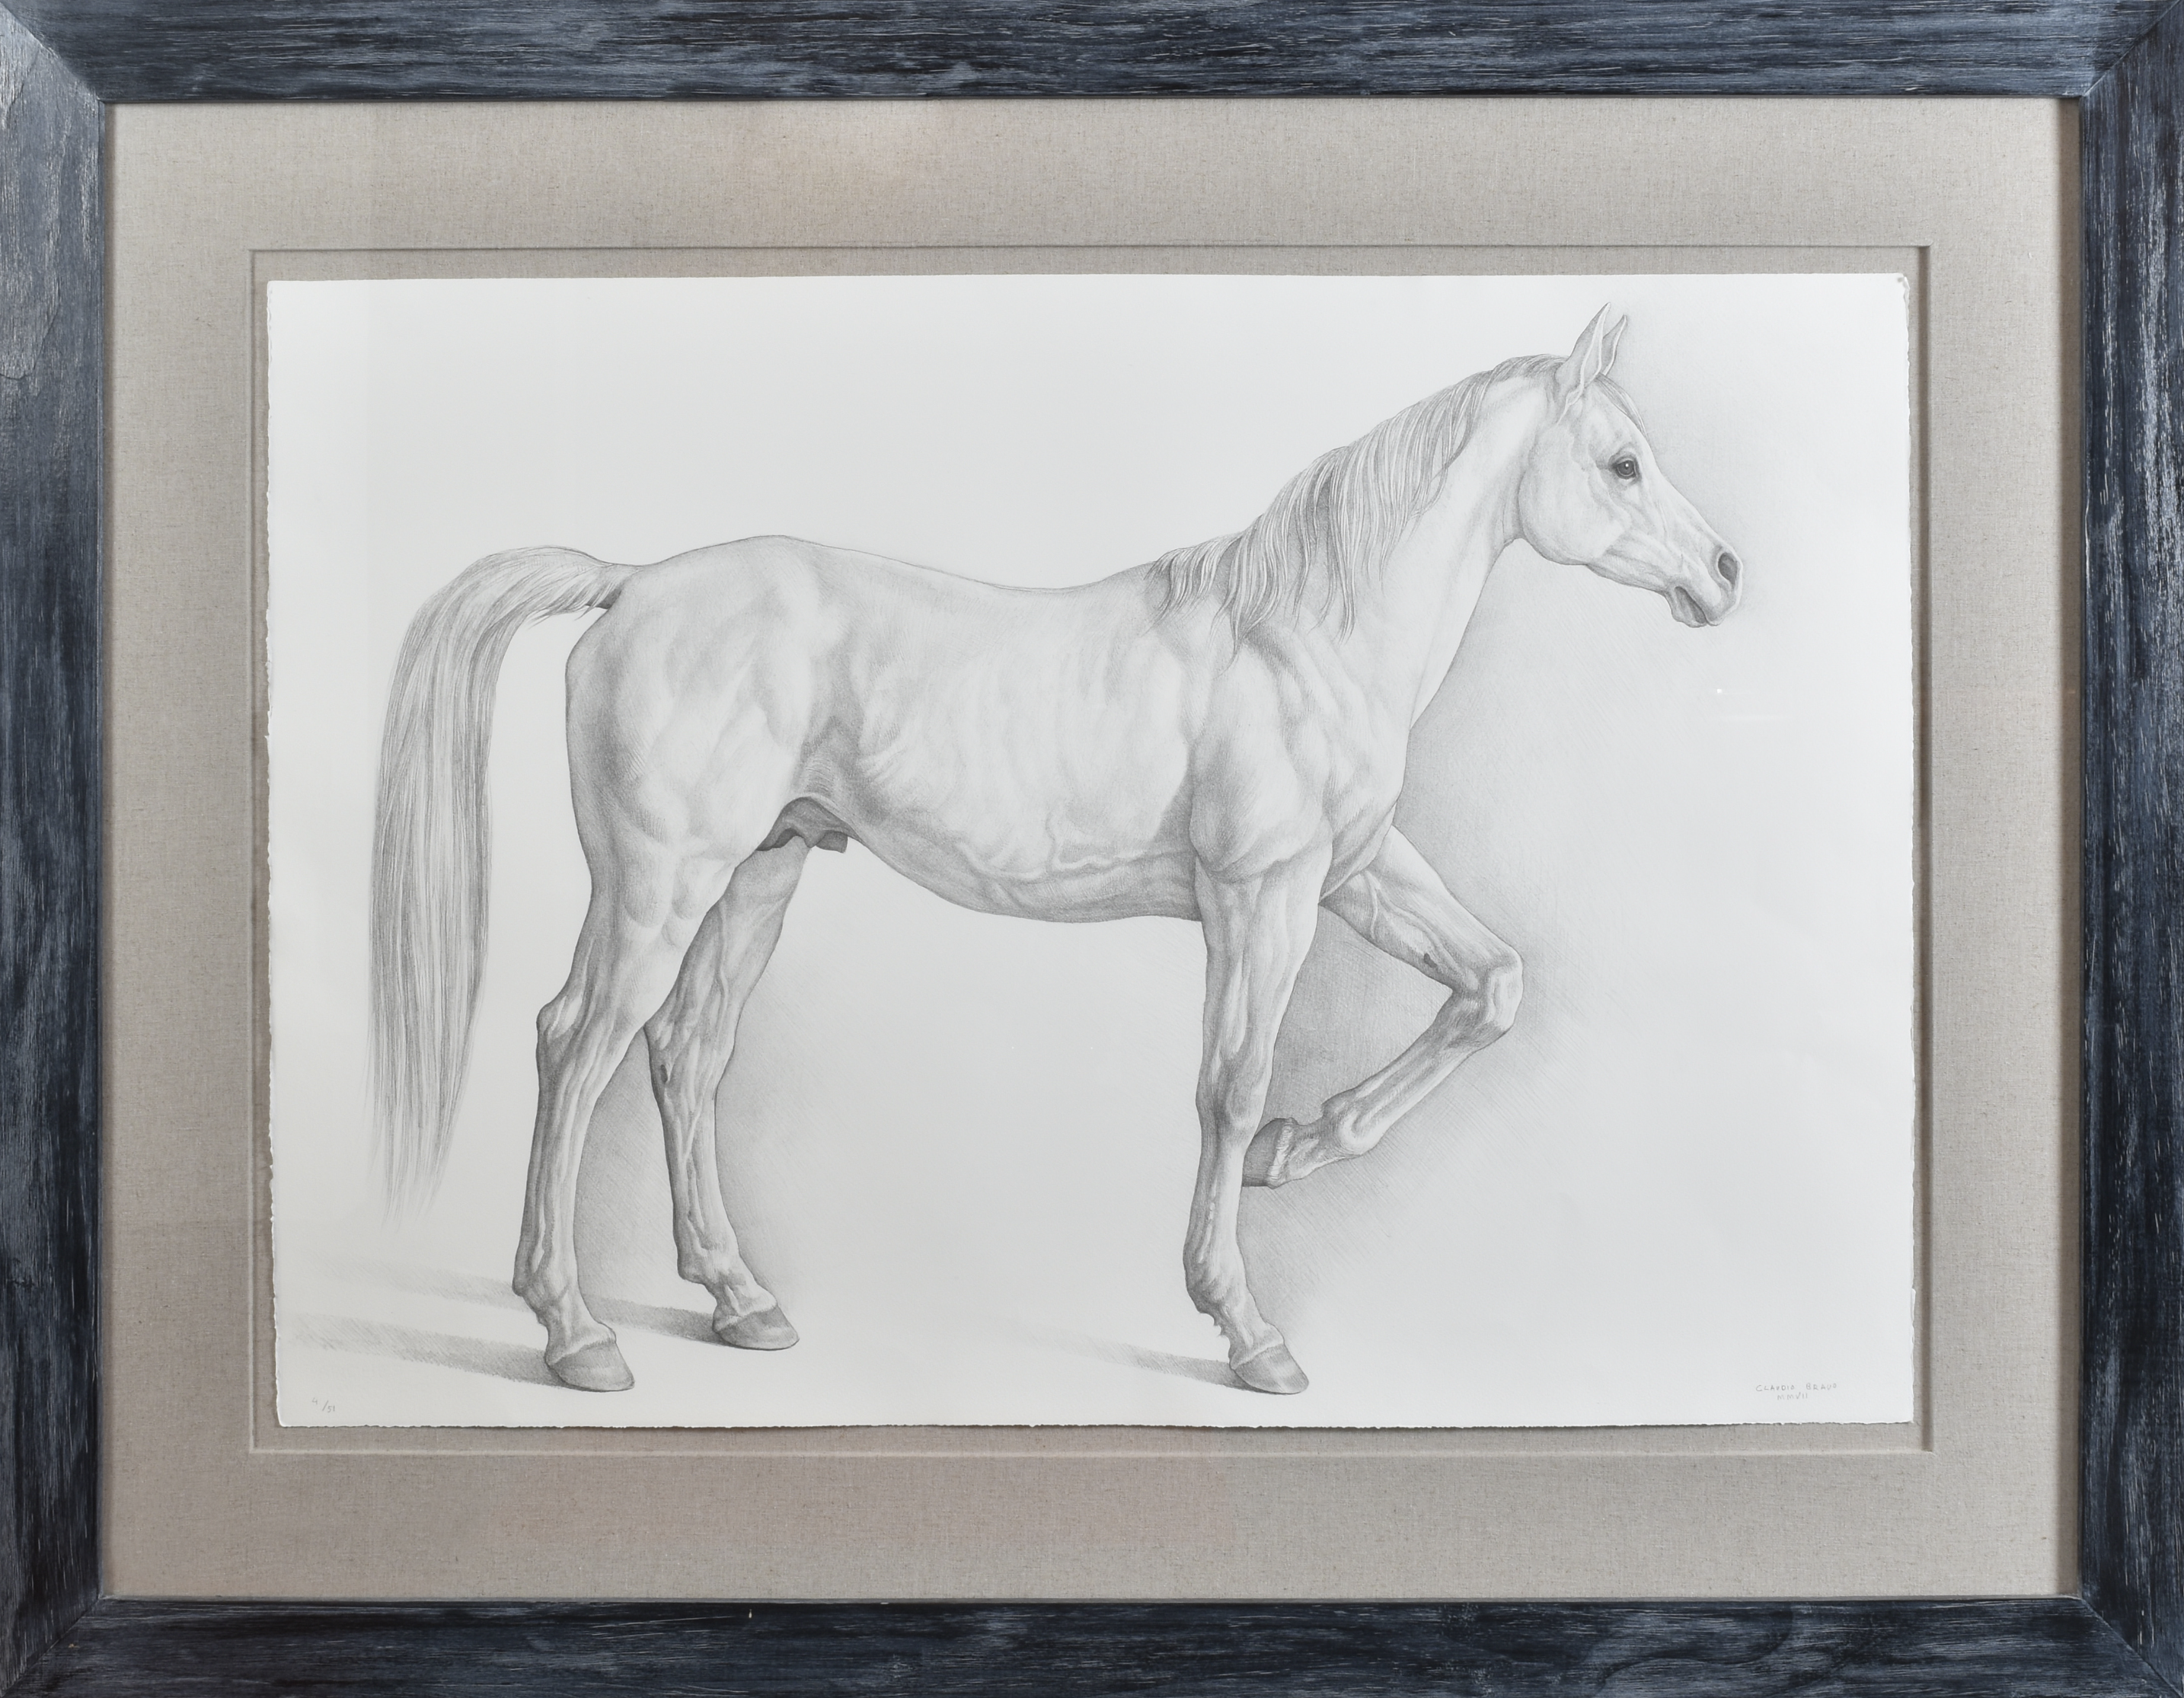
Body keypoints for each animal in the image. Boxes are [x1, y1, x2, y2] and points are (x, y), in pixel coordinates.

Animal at [368, 305, 1741, 1397]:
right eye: (1621, 461)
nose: (1724, 573)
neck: (1300, 639)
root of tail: (635, 583)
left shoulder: (1354, 875)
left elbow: (1490, 987)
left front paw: (1300, 1149)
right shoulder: (1263, 898)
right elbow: (1228, 1085)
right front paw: (1248, 1329)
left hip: (757, 873)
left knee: (686, 1054)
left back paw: (741, 1304)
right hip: (659, 887)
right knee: (574, 1045)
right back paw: (575, 1335)